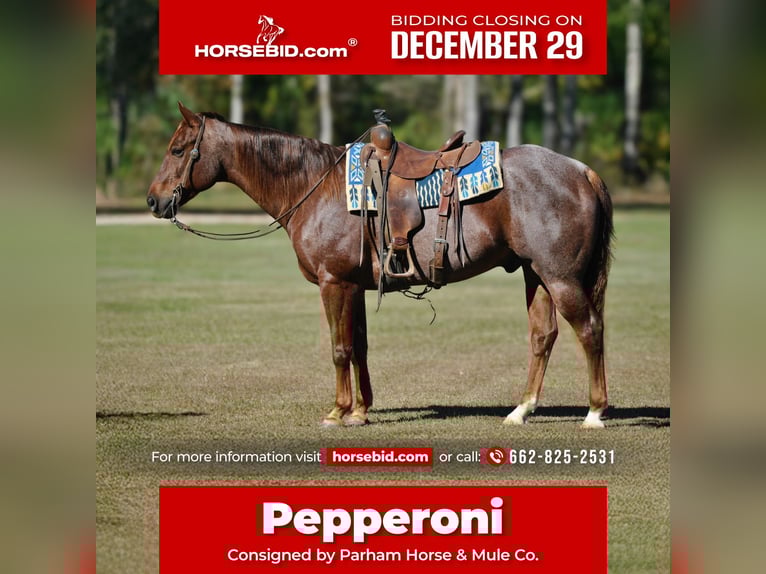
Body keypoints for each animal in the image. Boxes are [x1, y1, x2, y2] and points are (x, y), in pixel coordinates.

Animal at [147, 102, 614, 429]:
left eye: (177, 149)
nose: (153, 200)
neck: (316, 186)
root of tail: (582, 171)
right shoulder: (354, 285)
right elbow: (359, 347)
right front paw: (360, 411)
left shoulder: (334, 283)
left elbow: (339, 349)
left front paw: (337, 412)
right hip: (537, 276)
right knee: (543, 336)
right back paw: (521, 409)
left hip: (561, 278)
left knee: (589, 330)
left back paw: (594, 412)